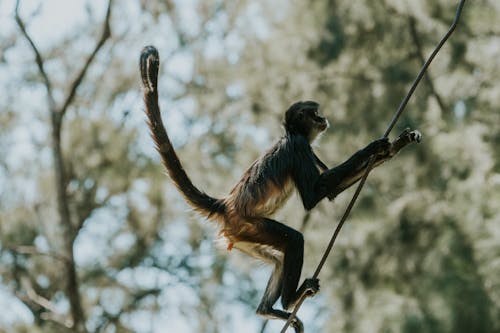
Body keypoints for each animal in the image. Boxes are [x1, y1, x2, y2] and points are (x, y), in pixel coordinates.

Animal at [140, 45, 422, 330]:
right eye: (314, 113)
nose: (323, 117)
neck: (292, 133)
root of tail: (227, 204)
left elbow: (328, 192)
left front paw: (396, 145)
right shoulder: (299, 146)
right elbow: (313, 196)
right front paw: (374, 147)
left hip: (243, 237)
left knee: (279, 258)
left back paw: (267, 310)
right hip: (249, 224)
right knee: (294, 240)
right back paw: (290, 300)